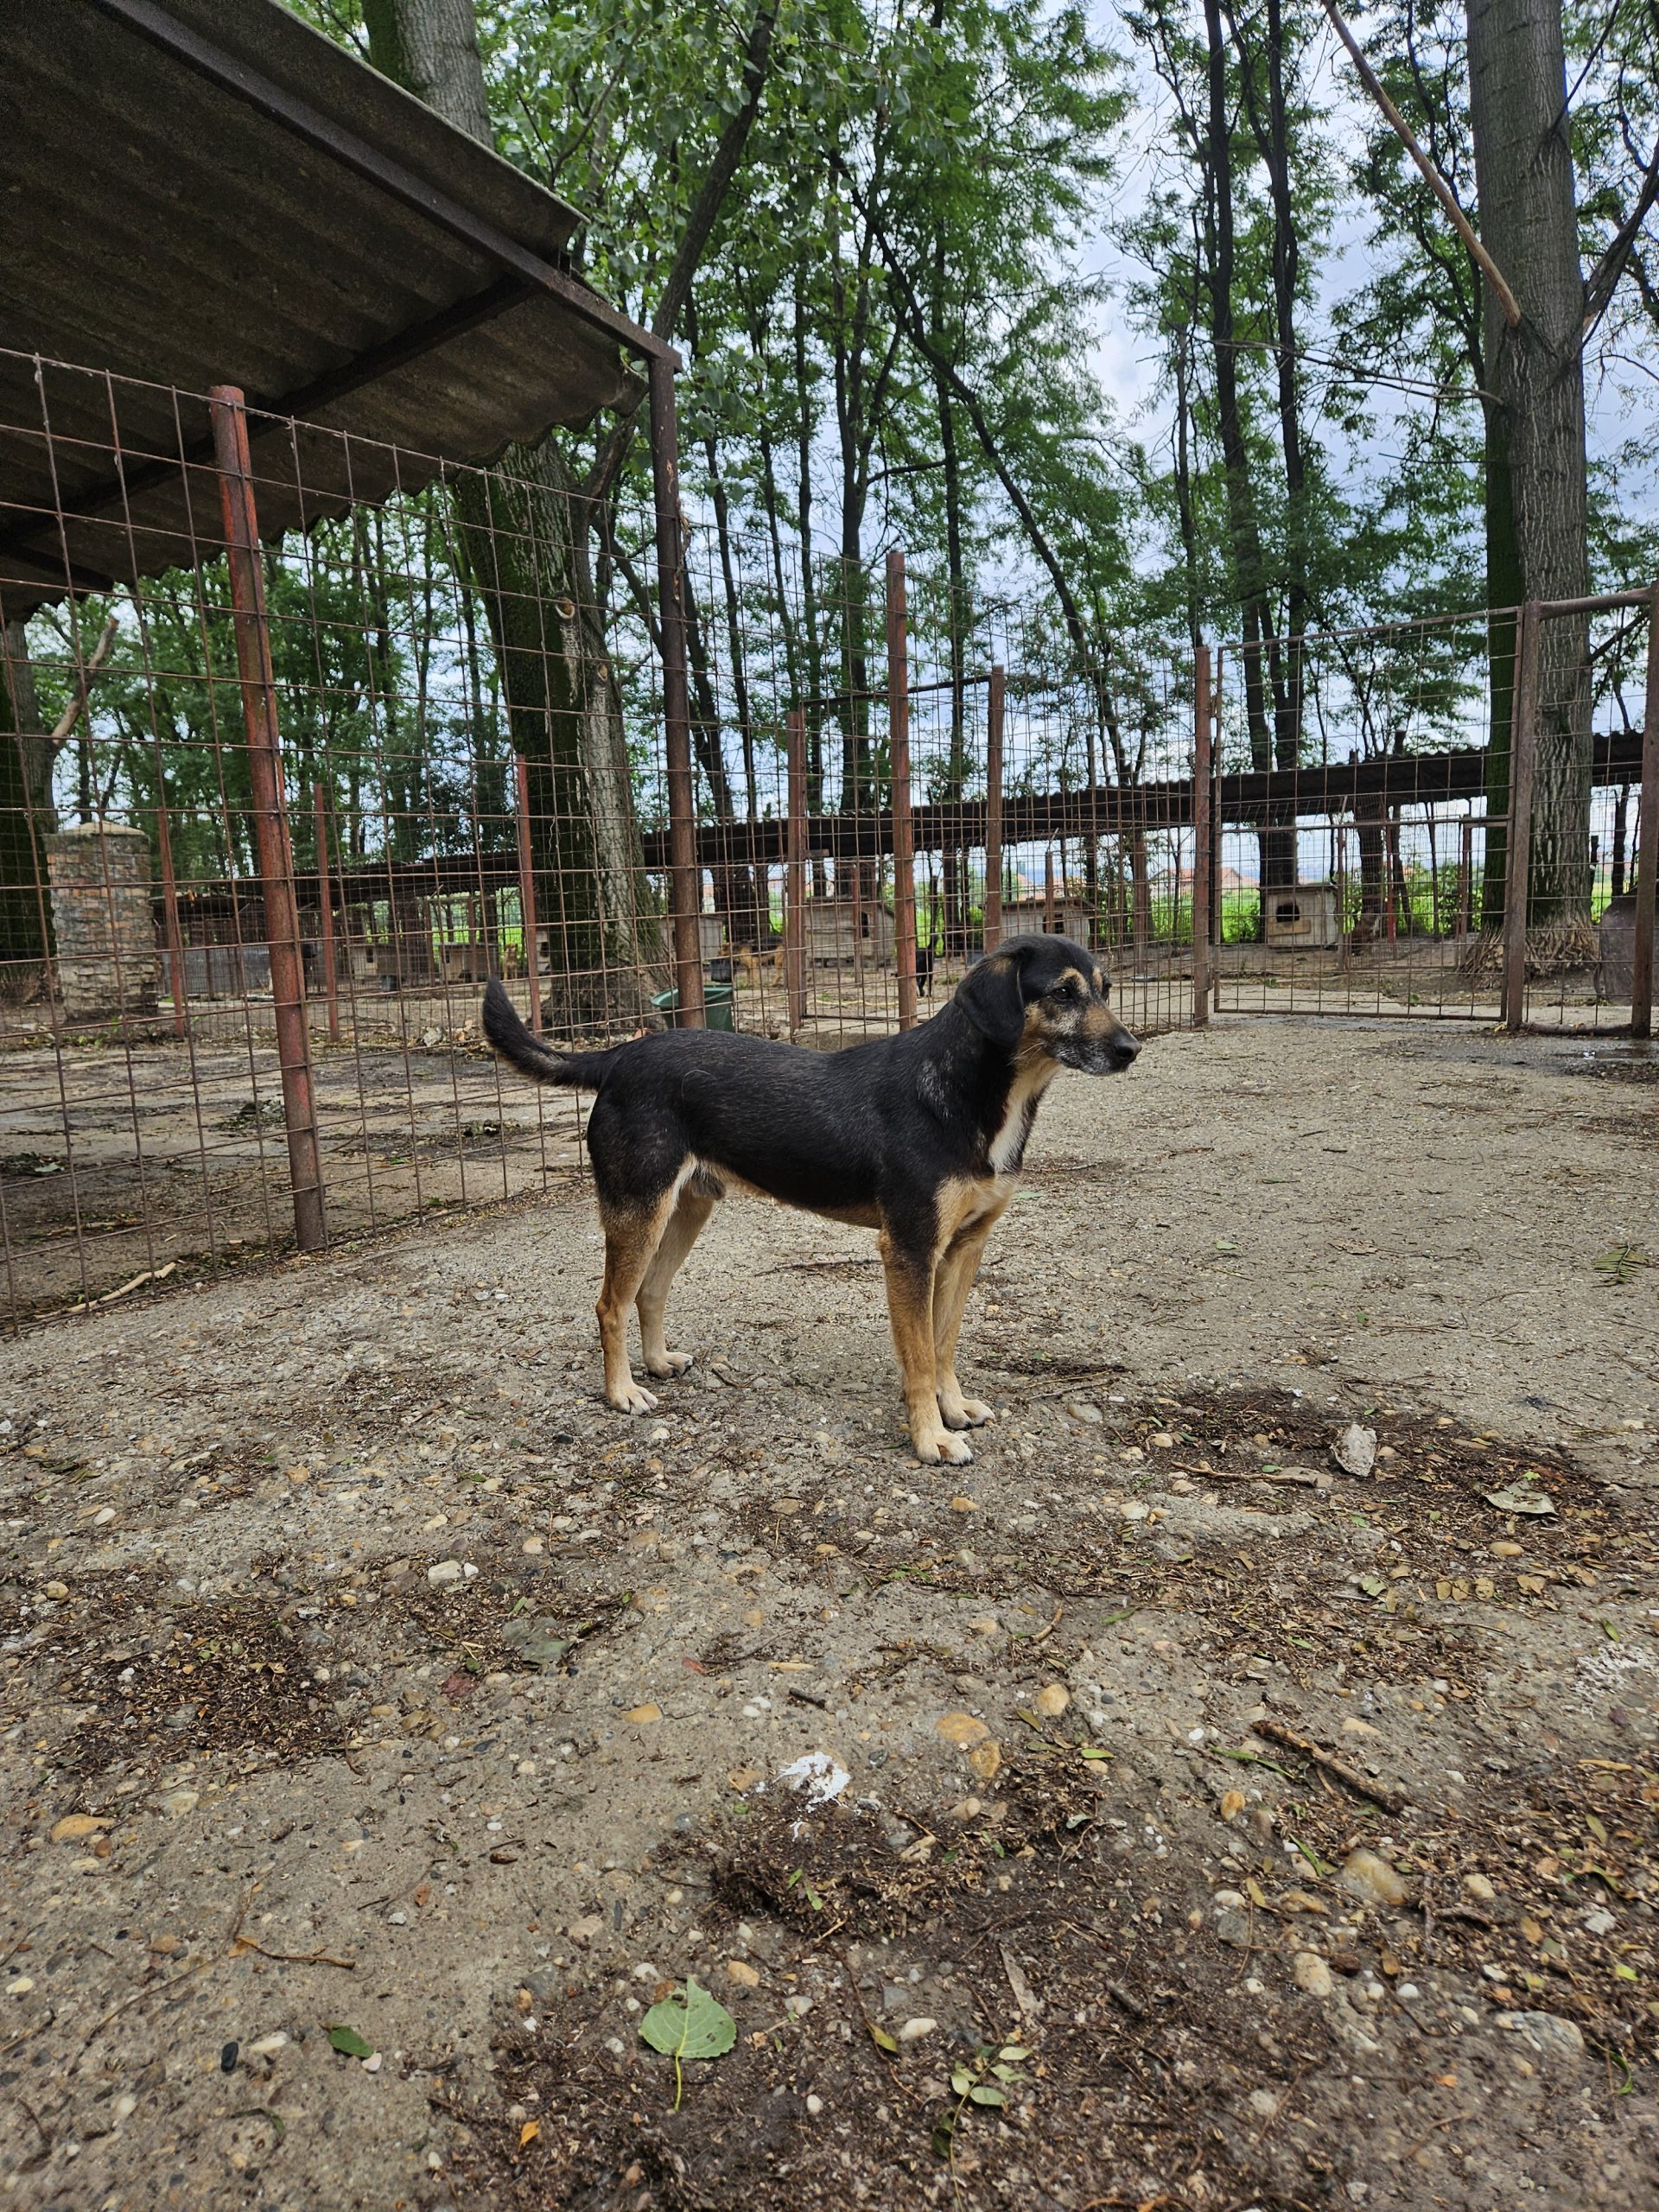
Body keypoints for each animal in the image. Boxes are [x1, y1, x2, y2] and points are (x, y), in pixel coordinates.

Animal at [481, 935, 1139, 1465]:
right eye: (1064, 992)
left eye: (1106, 989)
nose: (1131, 1049)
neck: (971, 1092)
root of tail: (619, 1055)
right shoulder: (908, 1250)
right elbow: (920, 1357)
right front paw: (931, 1438)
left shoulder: (964, 1248)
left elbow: (944, 1343)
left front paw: (953, 1408)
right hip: (638, 1208)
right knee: (610, 1305)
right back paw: (622, 1392)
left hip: (687, 1208)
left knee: (650, 1290)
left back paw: (660, 1363)